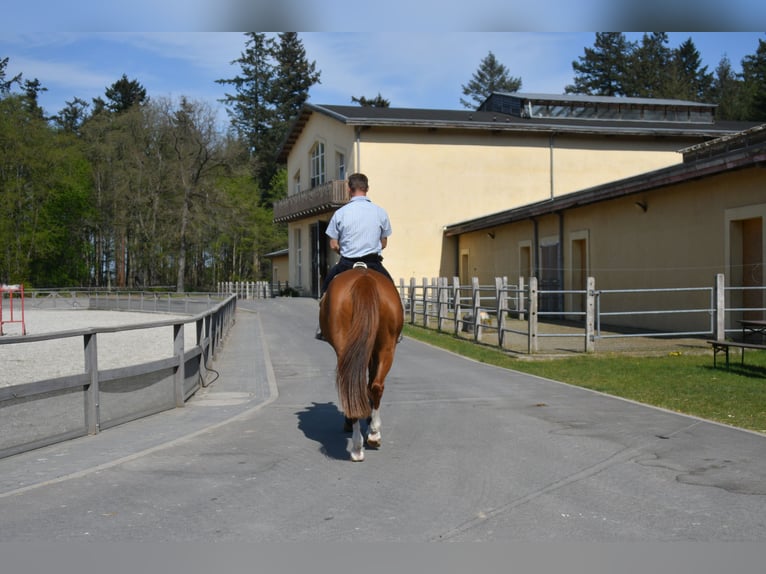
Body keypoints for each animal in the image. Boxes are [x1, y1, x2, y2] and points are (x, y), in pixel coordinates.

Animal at [318, 266, 404, 464]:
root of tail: (363, 279)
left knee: (353, 386)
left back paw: (359, 444)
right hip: (386, 348)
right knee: (375, 386)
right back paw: (371, 436)